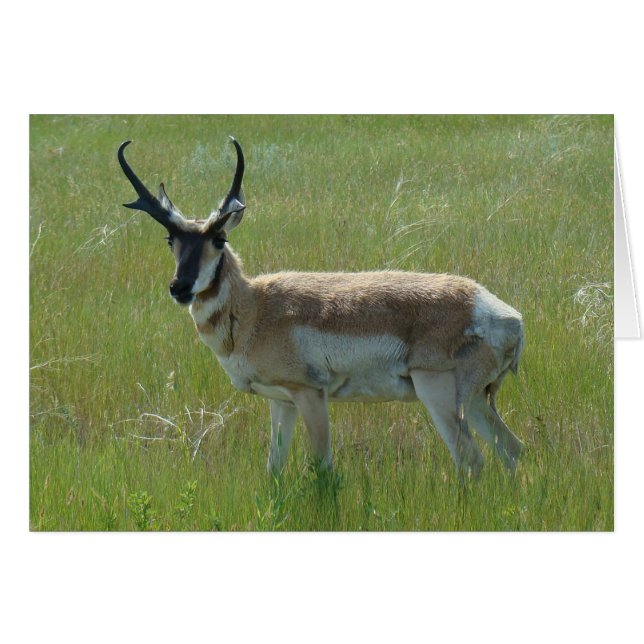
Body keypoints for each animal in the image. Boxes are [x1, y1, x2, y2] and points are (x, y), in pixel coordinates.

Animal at [118, 137, 525, 477]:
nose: (180, 288)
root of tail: (507, 316)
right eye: (170, 238)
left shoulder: (310, 395)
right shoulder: (281, 402)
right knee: (511, 449)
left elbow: (323, 468)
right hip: (476, 401)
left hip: (438, 394)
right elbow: (274, 469)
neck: (256, 308)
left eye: (220, 238)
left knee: (471, 460)